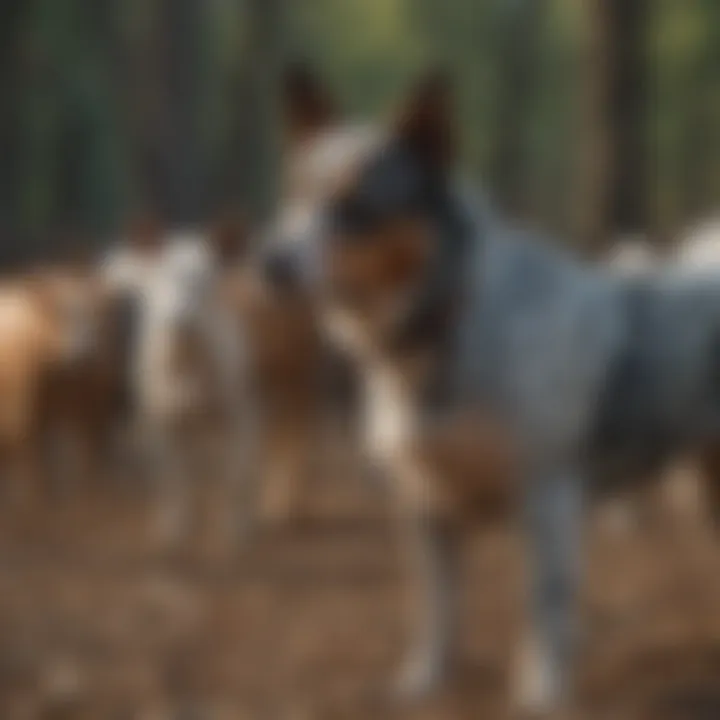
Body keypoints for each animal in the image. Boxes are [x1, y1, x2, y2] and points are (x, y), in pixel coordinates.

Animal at [258, 66, 720, 716]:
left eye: (355, 205)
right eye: (295, 195)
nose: (268, 261)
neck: (450, 322)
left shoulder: (548, 494)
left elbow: (545, 608)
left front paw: (540, 692)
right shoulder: (422, 504)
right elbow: (438, 609)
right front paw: (426, 682)